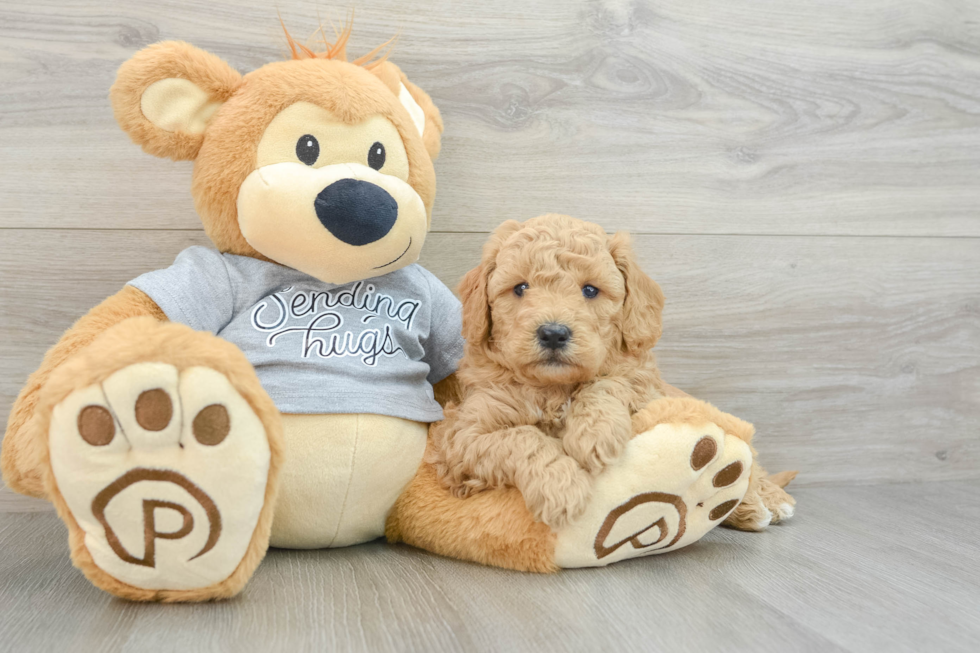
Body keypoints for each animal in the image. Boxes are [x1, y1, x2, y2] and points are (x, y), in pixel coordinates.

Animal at [430, 214, 796, 528]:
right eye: (520, 288)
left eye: (590, 290)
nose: (553, 333)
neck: (555, 388)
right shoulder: (463, 435)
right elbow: (521, 438)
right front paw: (561, 488)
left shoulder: (645, 389)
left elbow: (610, 383)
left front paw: (594, 434)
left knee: (753, 468)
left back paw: (765, 503)